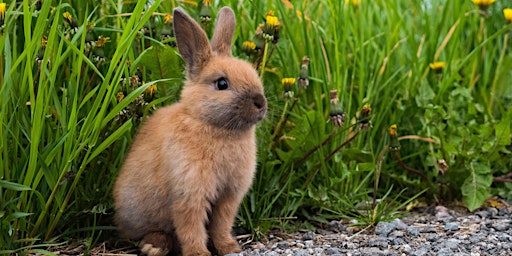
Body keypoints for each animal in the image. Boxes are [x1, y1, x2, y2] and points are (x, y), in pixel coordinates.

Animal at [113, 5, 268, 256]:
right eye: (222, 83)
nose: (260, 102)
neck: (212, 125)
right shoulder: (189, 194)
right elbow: (191, 227)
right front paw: (198, 253)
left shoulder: (228, 197)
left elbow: (221, 225)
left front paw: (229, 247)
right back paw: (154, 246)